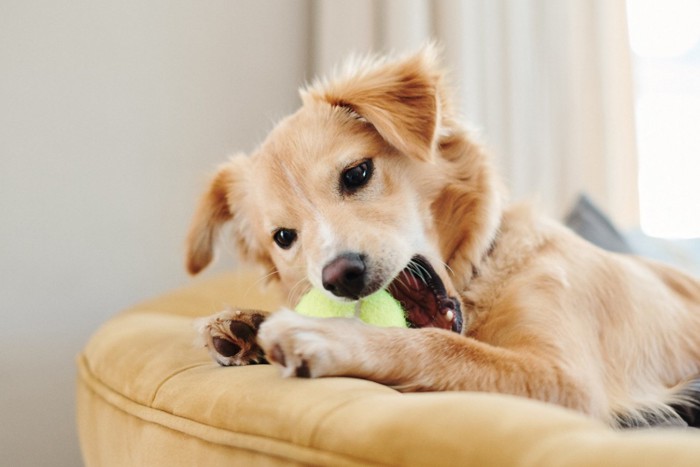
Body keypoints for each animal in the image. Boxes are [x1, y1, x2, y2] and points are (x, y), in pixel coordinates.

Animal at [186, 46, 700, 428]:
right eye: (284, 237)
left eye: (356, 173)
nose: (339, 275)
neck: (483, 273)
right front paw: (244, 325)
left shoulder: (567, 379)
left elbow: (436, 345)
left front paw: (324, 334)